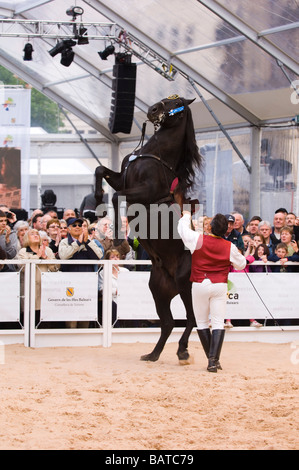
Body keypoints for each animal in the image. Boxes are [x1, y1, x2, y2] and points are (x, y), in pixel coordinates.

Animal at [95, 93, 203, 362]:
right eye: (169, 97)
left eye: (178, 103)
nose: (153, 109)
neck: (156, 157)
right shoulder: (121, 178)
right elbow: (101, 170)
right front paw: (97, 196)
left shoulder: (145, 192)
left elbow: (118, 197)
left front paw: (118, 237)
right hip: (158, 289)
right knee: (168, 322)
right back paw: (153, 354)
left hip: (185, 286)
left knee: (191, 319)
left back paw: (182, 351)